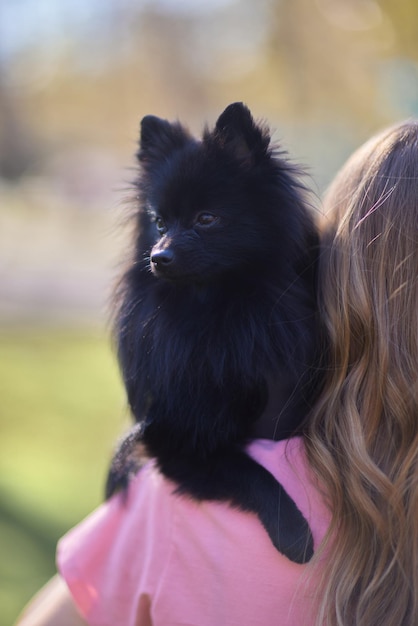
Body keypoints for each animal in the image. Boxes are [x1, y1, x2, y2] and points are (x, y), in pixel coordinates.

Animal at [108, 101, 320, 560]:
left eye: (206, 219)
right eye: (159, 222)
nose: (159, 256)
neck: (219, 312)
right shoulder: (177, 438)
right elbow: (251, 471)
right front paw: (294, 533)